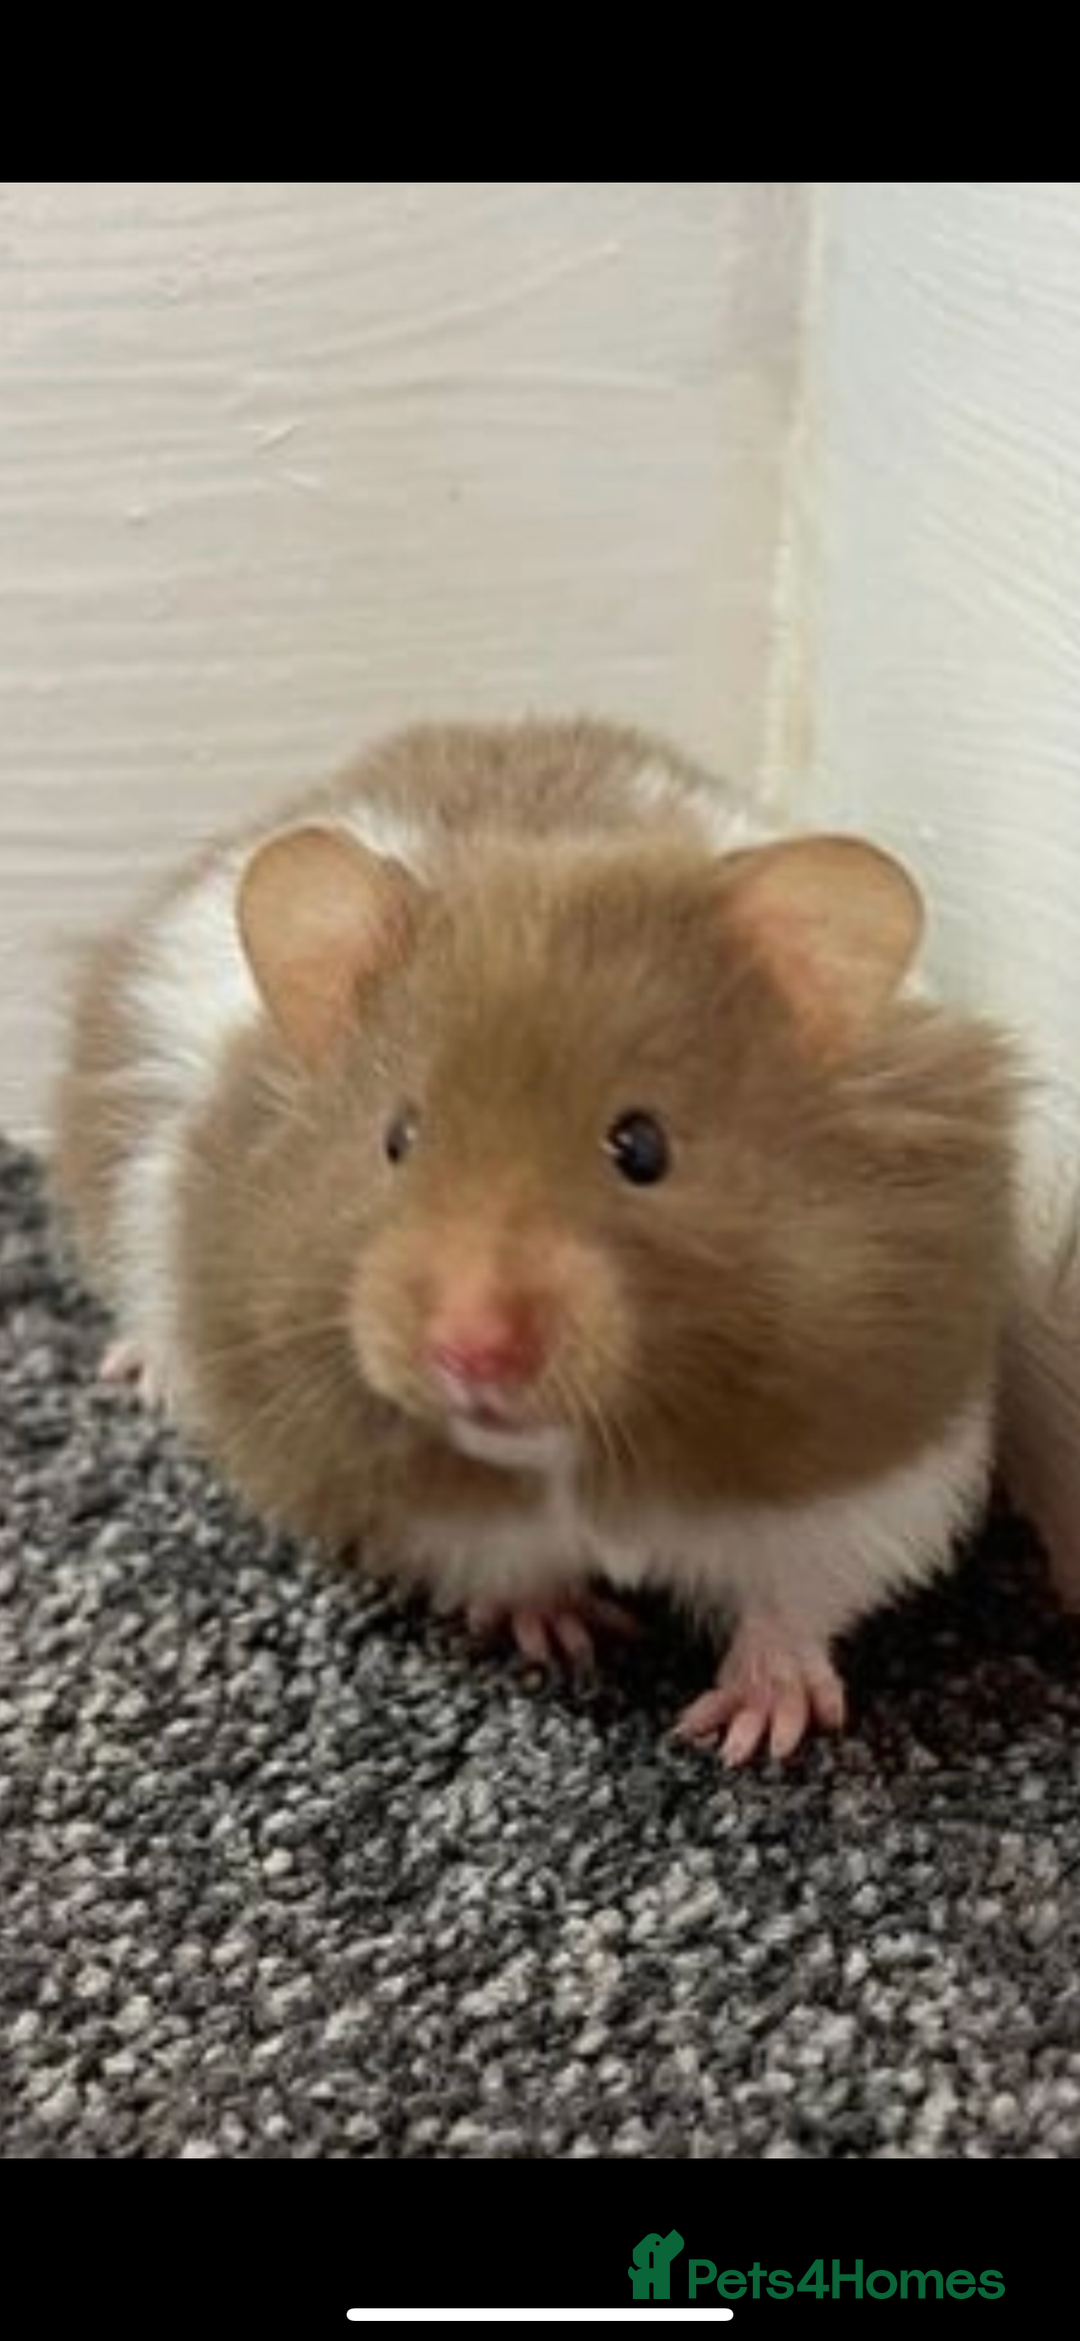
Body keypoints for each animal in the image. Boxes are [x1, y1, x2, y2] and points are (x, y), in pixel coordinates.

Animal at [52, 718, 1018, 1763]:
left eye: (643, 1145)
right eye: (397, 1136)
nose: (469, 1351)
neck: (572, 1452)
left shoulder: (870, 1469)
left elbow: (794, 1600)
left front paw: (750, 1733)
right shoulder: (412, 1505)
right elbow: (506, 1566)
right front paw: (568, 1638)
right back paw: (141, 1372)